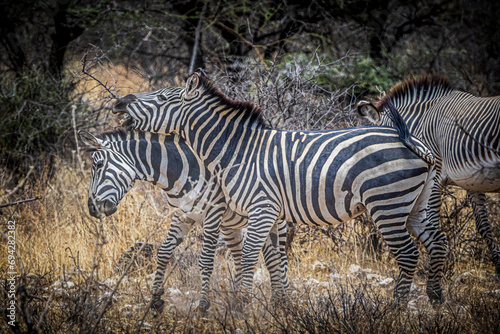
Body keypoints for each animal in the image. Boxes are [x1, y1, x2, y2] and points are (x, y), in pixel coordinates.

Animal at [79, 129, 290, 314]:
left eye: (98, 165)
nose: (91, 208)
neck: (180, 172)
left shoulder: (213, 213)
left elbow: (206, 260)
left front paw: (203, 305)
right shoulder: (183, 214)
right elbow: (164, 252)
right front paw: (156, 299)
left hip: (273, 218)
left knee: (278, 258)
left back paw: (281, 302)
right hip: (234, 226)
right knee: (245, 257)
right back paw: (245, 301)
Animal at [113, 73, 450, 306]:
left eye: (162, 97)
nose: (119, 102)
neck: (238, 151)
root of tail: (412, 140)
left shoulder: (261, 209)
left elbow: (249, 257)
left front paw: (240, 306)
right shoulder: (273, 215)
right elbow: (273, 261)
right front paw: (278, 306)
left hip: (387, 203)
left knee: (408, 254)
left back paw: (396, 309)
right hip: (416, 205)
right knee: (438, 242)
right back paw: (435, 299)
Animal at [358, 75, 500, 276]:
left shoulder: (436, 177)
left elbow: (432, 220)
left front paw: (433, 266)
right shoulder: (473, 181)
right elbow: (484, 226)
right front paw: (498, 265)